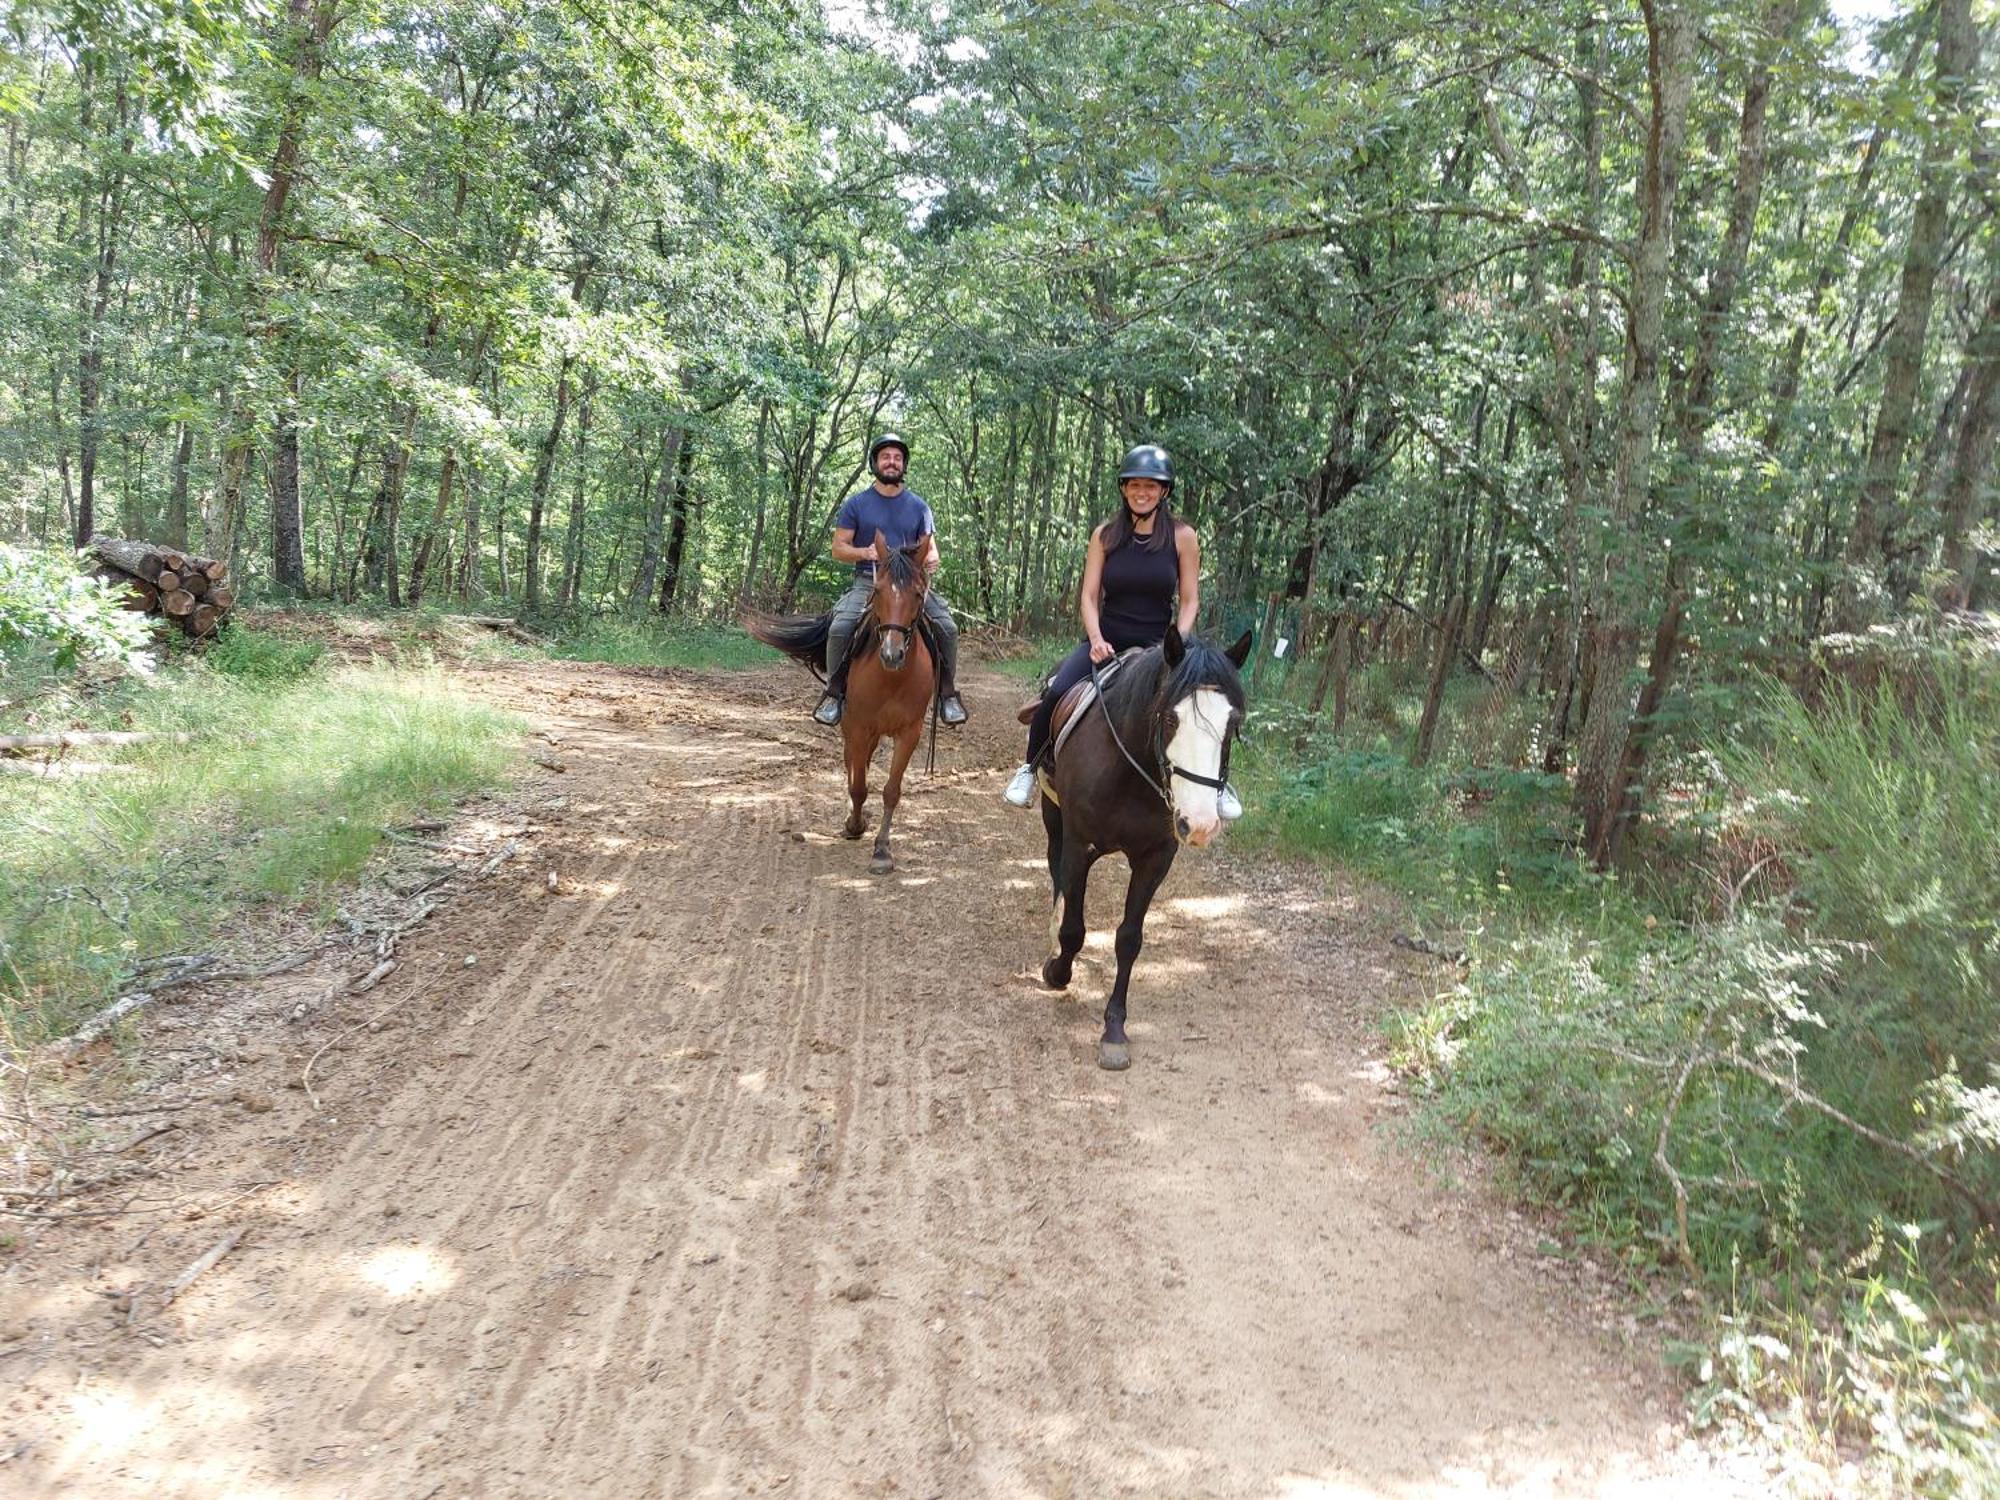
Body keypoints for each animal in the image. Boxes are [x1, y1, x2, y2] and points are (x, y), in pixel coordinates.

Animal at [748, 536, 940, 876]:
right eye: (877, 590)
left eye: (918, 594)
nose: (891, 654)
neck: (892, 678)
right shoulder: (858, 727)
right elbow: (858, 785)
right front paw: (854, 824)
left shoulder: (909, 733)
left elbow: (891, 790)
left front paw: (882, 850)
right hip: (853, 728)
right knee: (852, 763)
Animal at [1032, 624, 1248, 1072]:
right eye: (1170, 717)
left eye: (1232, 723)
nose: (1201, 824)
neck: (1130, 769)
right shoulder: (1079, 842)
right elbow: (1074, 928)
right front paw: (1058, 971)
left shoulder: (1156, 859)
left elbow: (1129, 939)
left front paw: (1114, 1029)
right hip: (1052, 813)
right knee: (1054, 867)